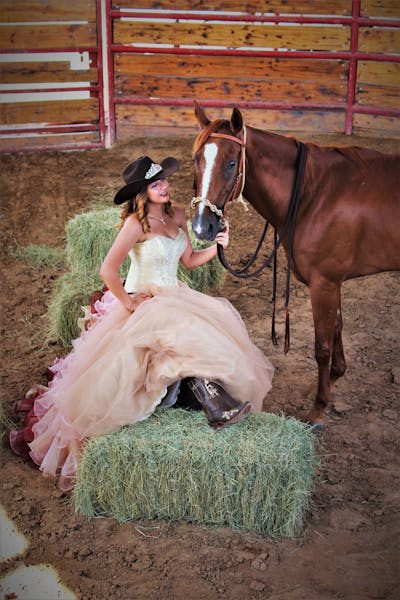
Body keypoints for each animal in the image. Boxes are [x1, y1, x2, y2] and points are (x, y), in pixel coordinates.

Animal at [191, 103, 400, 428]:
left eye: (230, 163)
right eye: (195, 160)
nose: (203, 227)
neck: (313, 195)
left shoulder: (324, 284)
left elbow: (321, 347)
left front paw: (318, 408)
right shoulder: (332, 283)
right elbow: (337, 327)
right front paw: (336, 377)